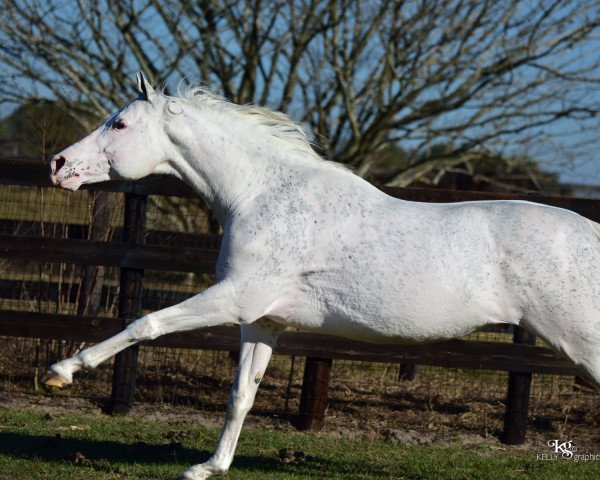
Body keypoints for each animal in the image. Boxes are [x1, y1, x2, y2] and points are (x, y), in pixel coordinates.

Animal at [44, 73, 600, 478]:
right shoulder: (262, 321)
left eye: (119, 124)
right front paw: (207, 468)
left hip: (582, 343)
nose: (58, 164)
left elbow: (147, 323)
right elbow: (241, 395)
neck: (261, 195)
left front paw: (62, 372)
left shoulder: (235, 298)